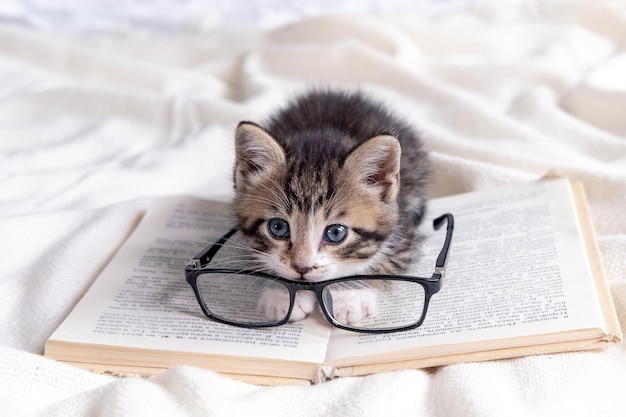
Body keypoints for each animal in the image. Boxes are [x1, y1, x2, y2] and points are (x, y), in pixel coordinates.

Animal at [232, 90, 426, 324]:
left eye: (336, 232)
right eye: (278, 227)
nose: (302, 268)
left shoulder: (405, 233)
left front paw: (350, 295)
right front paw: (281, 294)